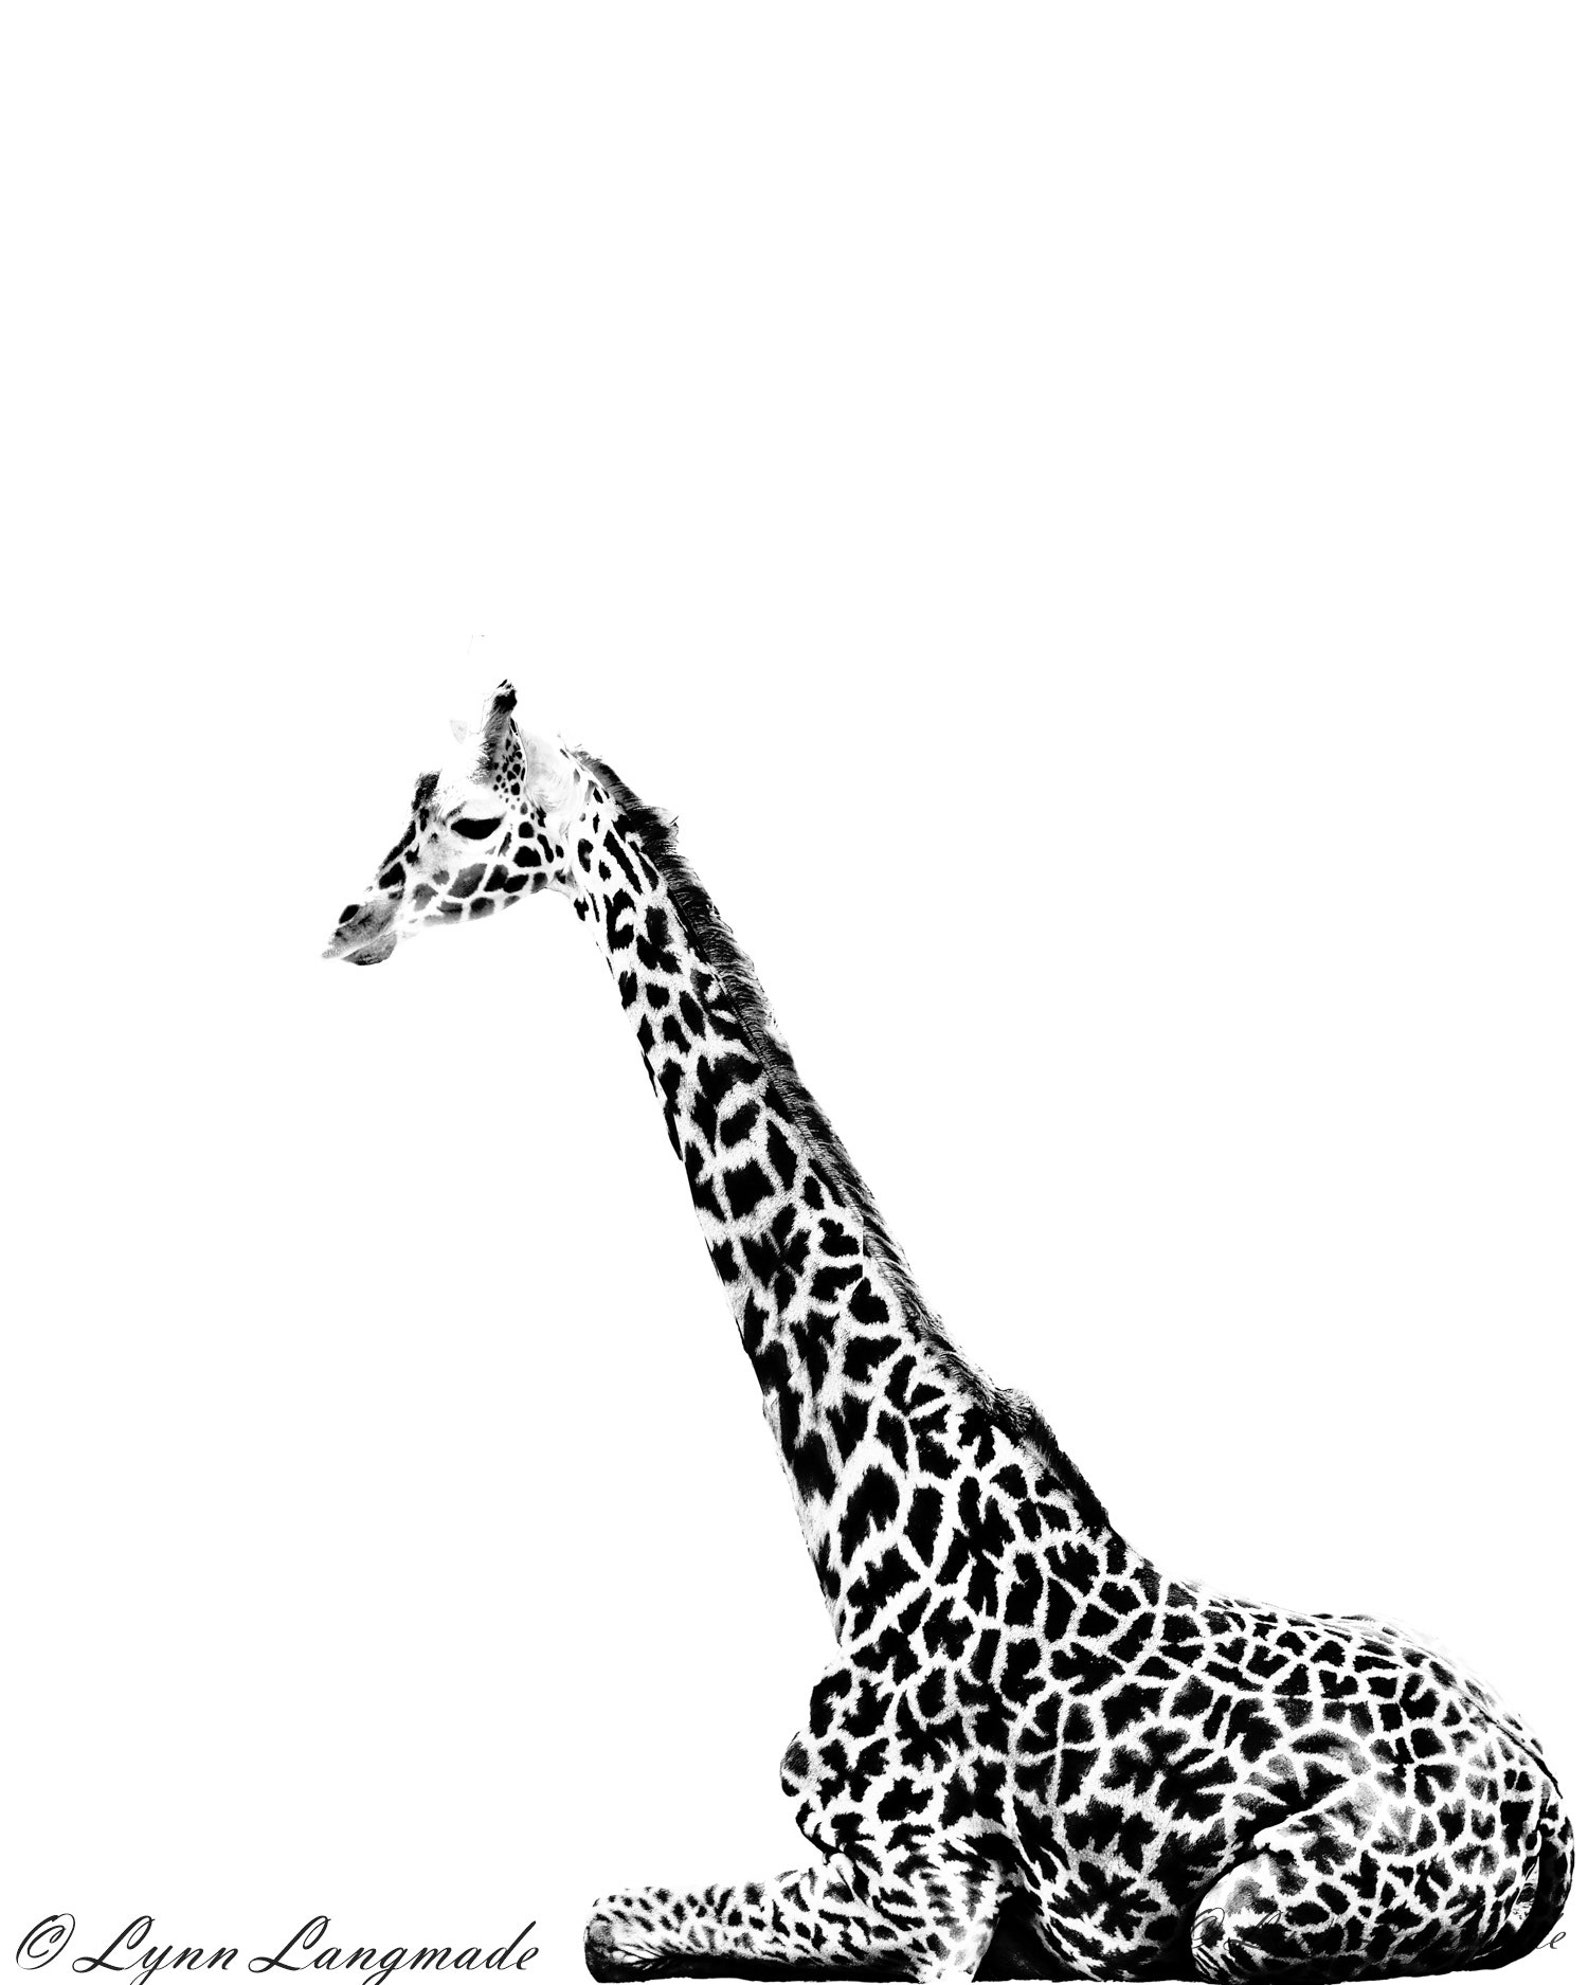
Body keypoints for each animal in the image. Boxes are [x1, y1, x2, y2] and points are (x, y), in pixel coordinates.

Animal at [325, 683, 1571, 1982]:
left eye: (470, 820)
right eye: (411, 800)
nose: (352, 920)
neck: (866, 1531)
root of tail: (1552, 1826)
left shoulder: (926, 1896)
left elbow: (607, 1919)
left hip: (1242, 1917)